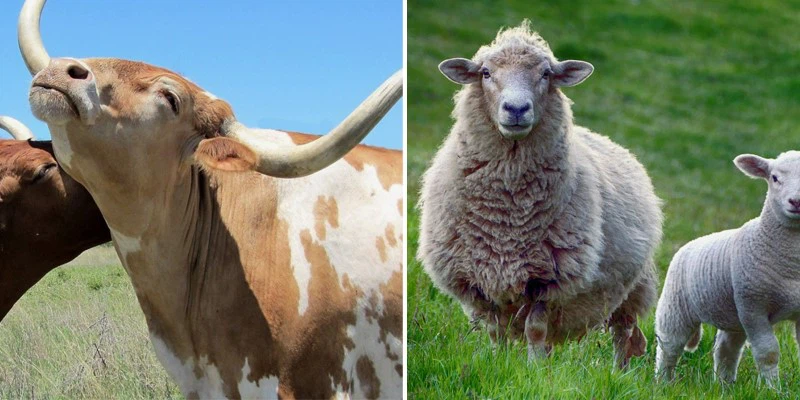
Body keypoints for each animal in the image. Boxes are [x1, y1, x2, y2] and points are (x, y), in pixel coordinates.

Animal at [416, 21, 663, 368]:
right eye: (486, 73)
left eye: (546, 74)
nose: (517, 108)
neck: (506, 213)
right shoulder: (478, 279)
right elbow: (495, 332)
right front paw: (500, 363)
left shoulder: (548, 280)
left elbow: (535, 330)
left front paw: (534, 370)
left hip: (633, 288)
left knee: (623, 333)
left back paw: (618, 372)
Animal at [655, 151, 800, 386]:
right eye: (774, 178)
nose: (796, 202)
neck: (791, 266)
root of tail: (688, 245)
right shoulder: (753, 307)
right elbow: (767, 353)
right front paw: (773, 389)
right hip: (675, 306)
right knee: (669, 346)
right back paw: (663, 383)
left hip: (734, 316)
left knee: (726, 350)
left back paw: (725, 386)